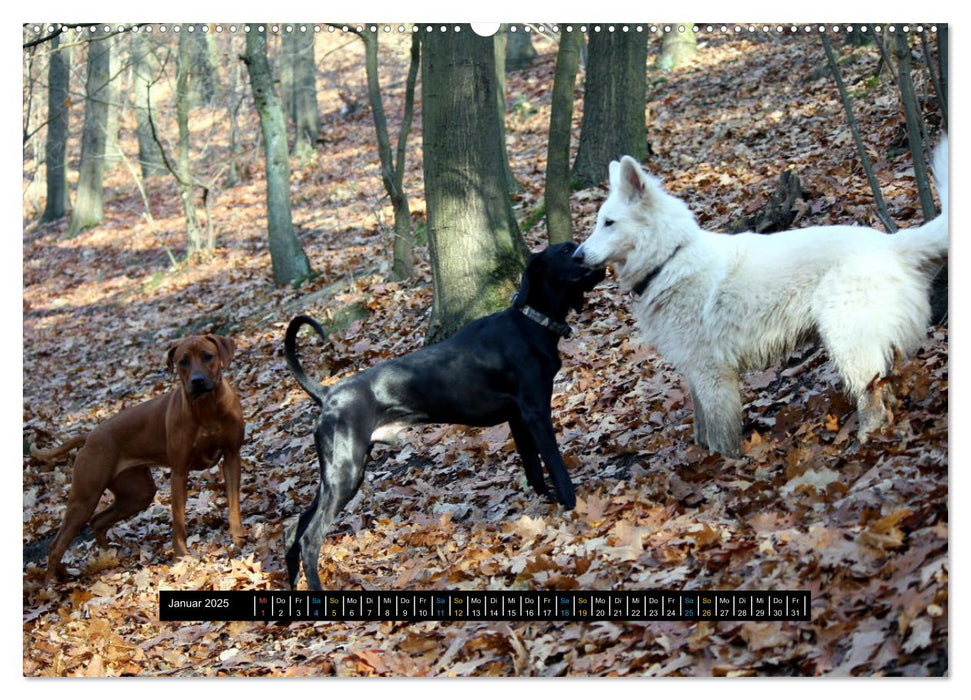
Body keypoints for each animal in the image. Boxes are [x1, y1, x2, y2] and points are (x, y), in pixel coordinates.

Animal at [34, 334, 247, 580]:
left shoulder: (232, 456)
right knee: (57, 543)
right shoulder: (179, 471)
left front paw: (238, 538)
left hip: (138, 493)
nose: (197, 381)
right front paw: (182, 556)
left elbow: (233, 504)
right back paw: (51, 581)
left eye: (208, 356)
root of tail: (89, 436)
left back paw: (108, 556)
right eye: (182, 361)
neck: (207, 409)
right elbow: (178, 521)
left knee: (97, 521)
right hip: (85, 497)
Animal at [280, 243, 604, 588]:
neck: (530, 323)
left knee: (294, 530)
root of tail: (328, 394)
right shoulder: (535, 413)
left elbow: (534, 471)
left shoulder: (518, 420)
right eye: (567, 250)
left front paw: (543, 505)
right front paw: (571, 507)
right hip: (346, 472)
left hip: (337, 473)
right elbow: (556, 467)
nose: (590, 251)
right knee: (309, 538)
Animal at [576, 143, 948, 460]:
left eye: (609, 223)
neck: (669, 258)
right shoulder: (695, 372)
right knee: (886, 392)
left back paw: (866, 442)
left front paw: (720, 468)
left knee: (874, 402)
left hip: (848, 344)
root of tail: (892, 243)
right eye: (598, 222)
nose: (577, 256)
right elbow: (701, 425)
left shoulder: (713, 374)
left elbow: (720, 435)